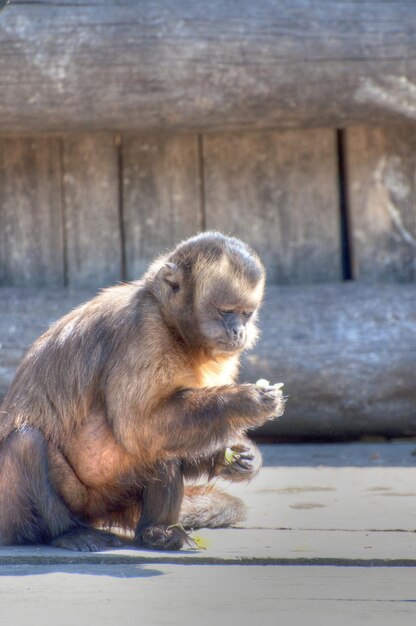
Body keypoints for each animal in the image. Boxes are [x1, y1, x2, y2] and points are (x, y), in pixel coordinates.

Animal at [0, 232, 284, 548]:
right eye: (226, 312)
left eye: (246, 314)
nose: (238, 331)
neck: (175, 330)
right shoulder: (144, 331)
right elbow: (137, 427)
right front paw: (246, 402)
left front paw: (236, 457)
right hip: (23, 508)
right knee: (26, 443)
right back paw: (67, 532)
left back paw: (156, 531)